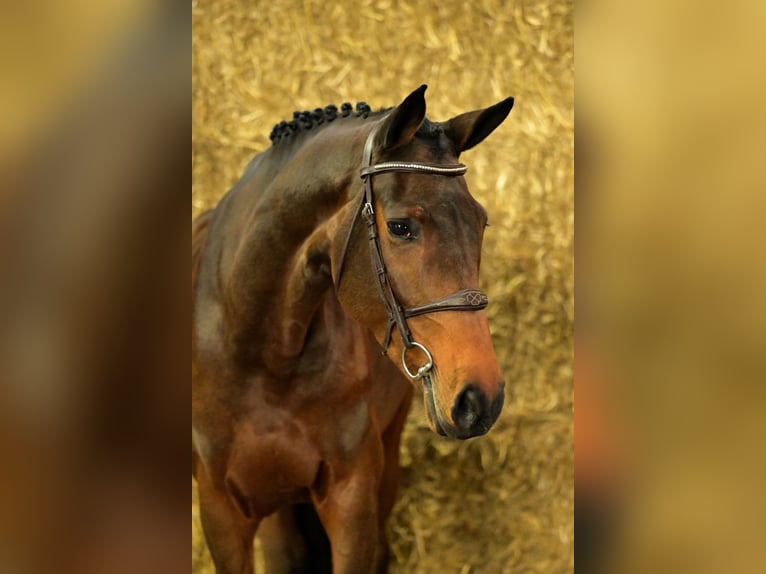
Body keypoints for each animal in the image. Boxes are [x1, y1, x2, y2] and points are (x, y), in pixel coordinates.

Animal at [192, 85, 516, 574]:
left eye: (481, 223)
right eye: (400, 227)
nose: (483, 398)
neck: (263, 355)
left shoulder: (353, 498)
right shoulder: (221, 512)